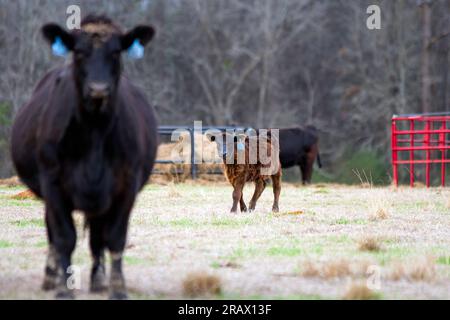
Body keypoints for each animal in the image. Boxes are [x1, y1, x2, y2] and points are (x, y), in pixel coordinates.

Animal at [9, 15, 158, 300]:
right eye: (78, 52)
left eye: (116, 52)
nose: (98, 89)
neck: (94, 133)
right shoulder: (53, 184)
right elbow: (64, 237)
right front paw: (63, 289)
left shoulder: (126, 186)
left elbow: (114, 237)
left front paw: (117, 288)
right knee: (52, 233)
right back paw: (51, 276)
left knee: (97, 236)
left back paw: (98, 280)